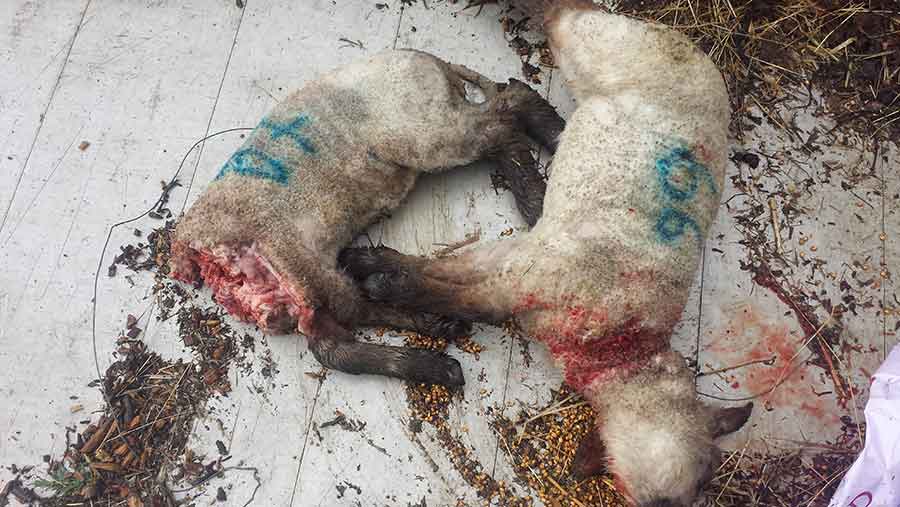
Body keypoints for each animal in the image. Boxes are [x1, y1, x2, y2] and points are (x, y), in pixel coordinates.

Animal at [342, 3, 756, 507]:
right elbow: (448, 287)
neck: (623, 344)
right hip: (592, 46)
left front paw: (373, 271)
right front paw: (377, 276)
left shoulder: (518, 269)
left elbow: (452, 286)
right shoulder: (524, 268)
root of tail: (696, 52)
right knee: (563, 14)